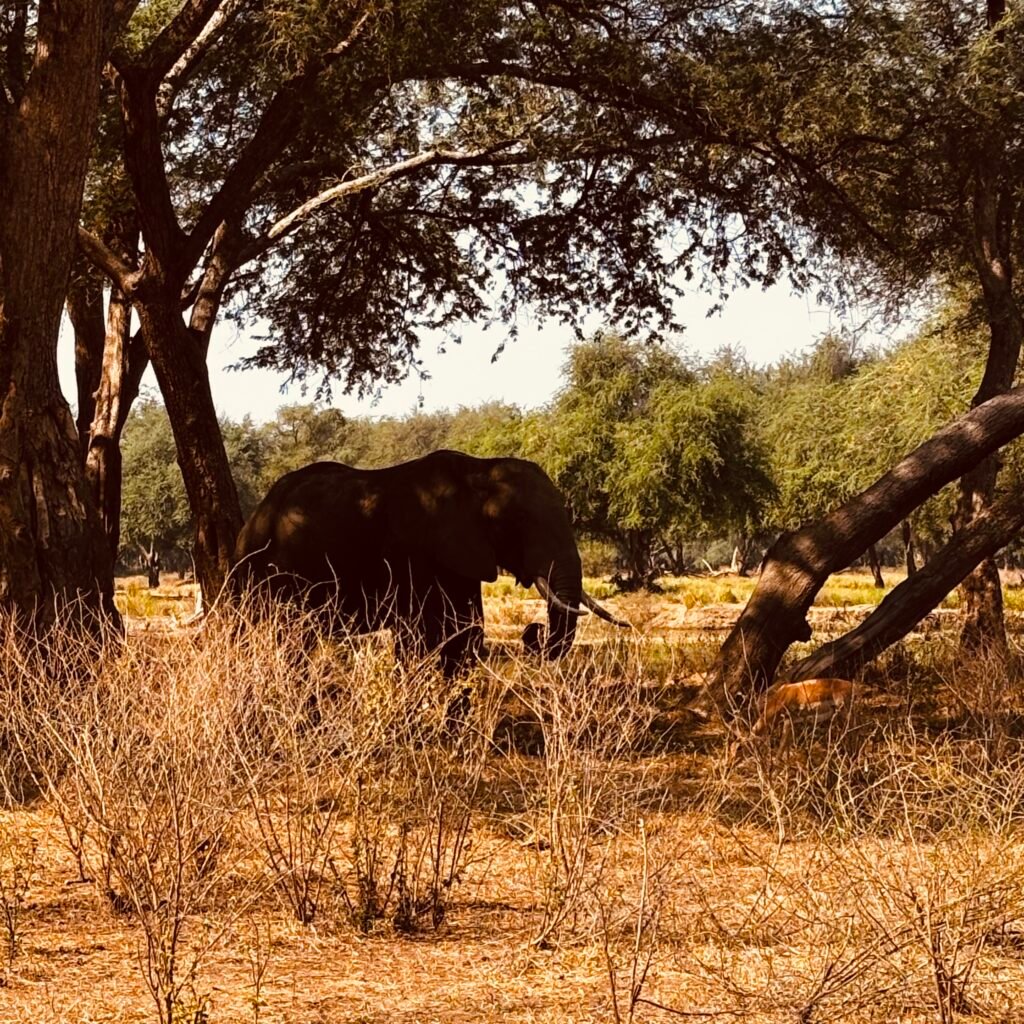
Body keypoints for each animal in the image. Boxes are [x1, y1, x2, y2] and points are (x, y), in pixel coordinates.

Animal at [231, 449, 626, 675]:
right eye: (517, 522)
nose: (534, 631)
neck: (478, 472)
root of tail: (253, 517)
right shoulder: (416, 551)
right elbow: (417, 637)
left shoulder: (462, 556)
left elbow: (467, 634)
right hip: (262, 568)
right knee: (278, 637)